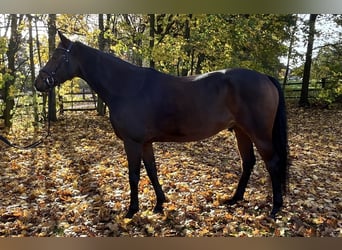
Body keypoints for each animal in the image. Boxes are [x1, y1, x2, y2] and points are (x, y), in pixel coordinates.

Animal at [34, 31, 288, 219]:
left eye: (57, 57)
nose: (38, 83)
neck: (126, 87)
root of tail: (264, 77)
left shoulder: (132, 143)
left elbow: (134, 175)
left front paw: (132, 210)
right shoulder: (146, 143)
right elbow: (152, 171)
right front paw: (160, 203)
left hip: (259, 134)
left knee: (273, 163)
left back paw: (275, 208)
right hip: (241, 131)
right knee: (248, 163)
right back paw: (235, 199)